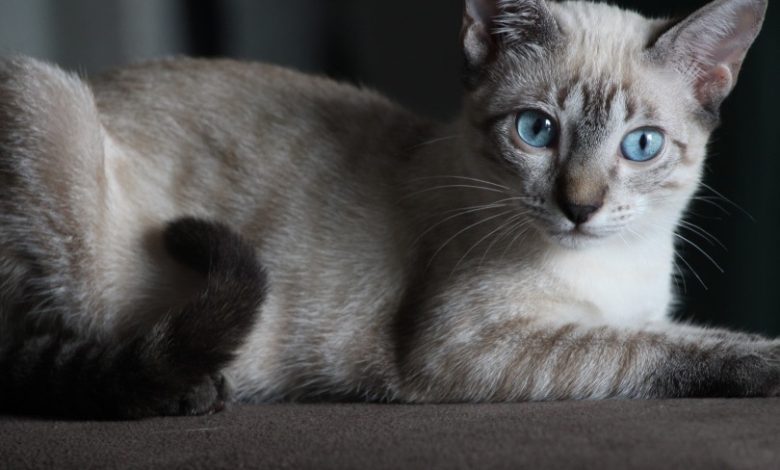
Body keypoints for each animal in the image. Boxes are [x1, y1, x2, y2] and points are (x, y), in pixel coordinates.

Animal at [0, 0, 776, 418]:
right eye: (536, 131)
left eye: (641, 145)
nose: (580, 208)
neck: (619, 265)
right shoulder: (467, 347)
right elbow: (654, 349)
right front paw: (765, 362)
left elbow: (667, 333)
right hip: (43, 94)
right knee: (38, 357)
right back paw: (187, 391)